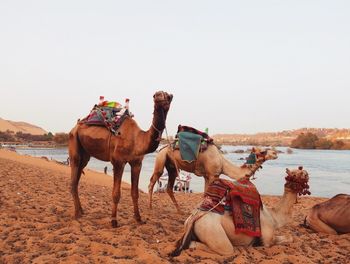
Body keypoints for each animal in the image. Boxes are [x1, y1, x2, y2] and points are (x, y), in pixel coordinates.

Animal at [68, 91, 172, 227]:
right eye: (155, 95)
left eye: (169, 96)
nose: (159, 96)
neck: (137, 139)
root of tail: (76, 126)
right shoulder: (118, 162)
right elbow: (116, 193)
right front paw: (114, 220)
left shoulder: (137, 163)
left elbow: (135, 193)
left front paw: (139, 219)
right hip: (73, 141)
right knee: (73, 177)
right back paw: (77, 214)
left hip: (85, 154)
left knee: (78, 176)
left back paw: (81, 210)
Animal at [171, 167, 310, 256]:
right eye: (296, 174)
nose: (306, 173)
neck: (273, 217)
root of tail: (195, 216)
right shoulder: (267, 241)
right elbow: (289, 237)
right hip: (212, 231)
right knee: (223, 249)